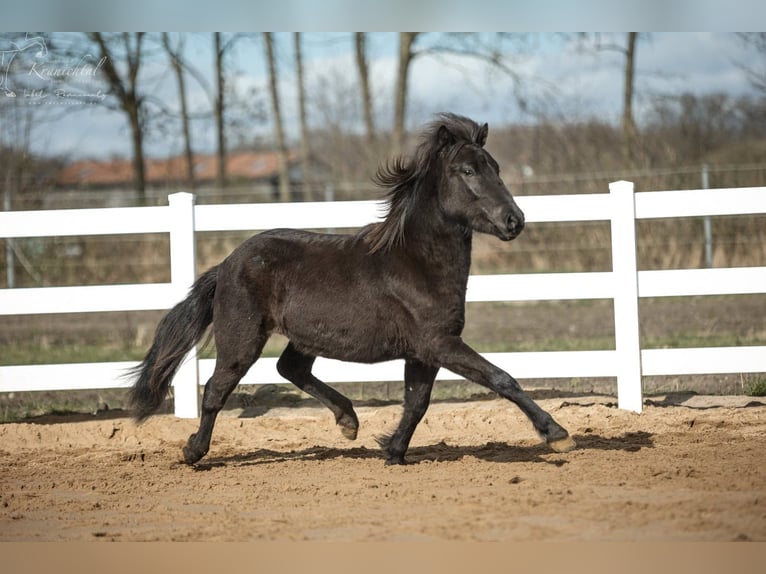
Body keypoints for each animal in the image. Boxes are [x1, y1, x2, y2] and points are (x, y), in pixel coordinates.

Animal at [129, 113, 576, 465]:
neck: (416, 263)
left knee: (290, 368)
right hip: (242, 338)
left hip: (304, 336)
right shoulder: (439, 343)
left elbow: (417, 402)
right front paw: (557, 435)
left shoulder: (424, 351)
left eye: (495, 167)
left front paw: (393, 451)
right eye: (467, 171)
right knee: (216, 389)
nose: (514, 220)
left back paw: (348, 421)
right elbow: (502, 378)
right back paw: (194, 452)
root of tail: (226, 265)